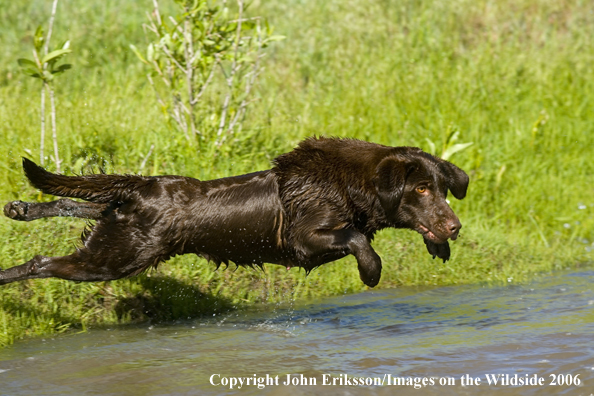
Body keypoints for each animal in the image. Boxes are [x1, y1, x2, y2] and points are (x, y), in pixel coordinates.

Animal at [2, 138, 470, 286]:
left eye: (443, 189)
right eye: (421, 188)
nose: (455, 227)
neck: (349, 184)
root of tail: (143, 185)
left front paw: (437, 247)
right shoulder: (305, 241)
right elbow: (356, 238)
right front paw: (371, 272)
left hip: (115, 228)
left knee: (78, 203)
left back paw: (21, 208)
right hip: (114, 257)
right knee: (41, 262)